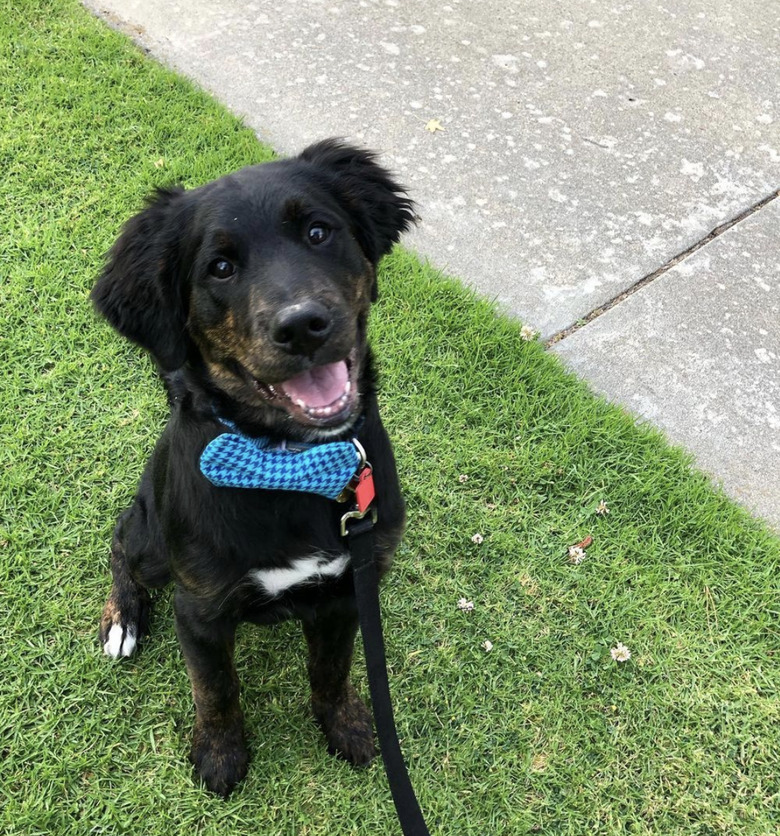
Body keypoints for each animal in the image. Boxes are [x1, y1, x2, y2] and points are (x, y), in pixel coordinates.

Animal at [93, 139, 414, 796]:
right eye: (219, 268)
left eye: (318, 232)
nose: (303, 326)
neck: (289, 463)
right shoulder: (200, 610)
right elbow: (215, 691)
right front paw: (220, 756)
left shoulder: (349, 587)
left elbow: (333, 670)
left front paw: (345, 725)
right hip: (150, 538)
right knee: (119, 546)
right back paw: (123, 618)